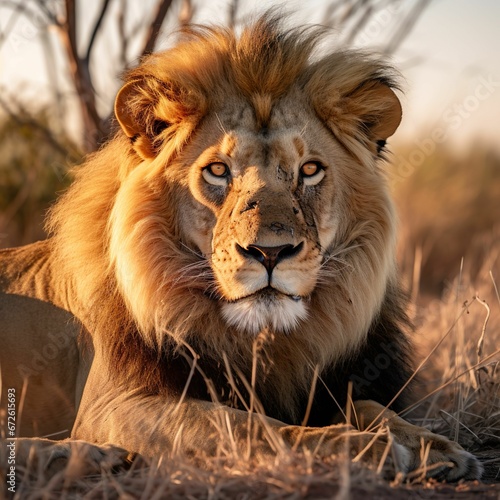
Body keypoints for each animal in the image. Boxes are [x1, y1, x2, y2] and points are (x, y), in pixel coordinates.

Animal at [0, 12, 484, 480]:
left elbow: (370, 406)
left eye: (310, 170)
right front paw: (360, 448)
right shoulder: (113, 405)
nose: (270, 253)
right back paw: (85, 457)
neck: (264, 341)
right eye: (217, 170)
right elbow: (248, 426)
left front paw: (433, 447)